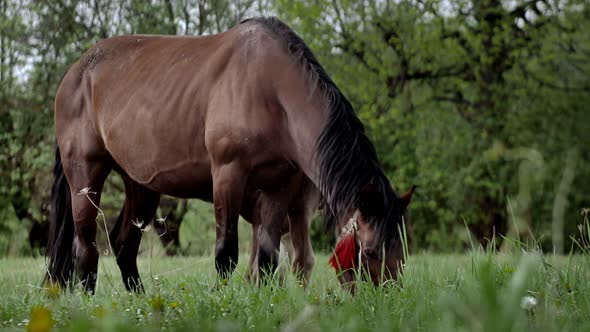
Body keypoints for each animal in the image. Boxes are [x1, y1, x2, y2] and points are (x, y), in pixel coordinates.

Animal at [46, 16, 414, 294]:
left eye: (401, 250)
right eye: (370, 251)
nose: (387, 298)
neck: (271, 88)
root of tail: (75, 72)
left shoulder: (279, 187)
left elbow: (266, 258)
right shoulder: (228, 174)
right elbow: (227, 253)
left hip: (140, 184)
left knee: (124, 244)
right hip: (85, 176)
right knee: (86, 247)